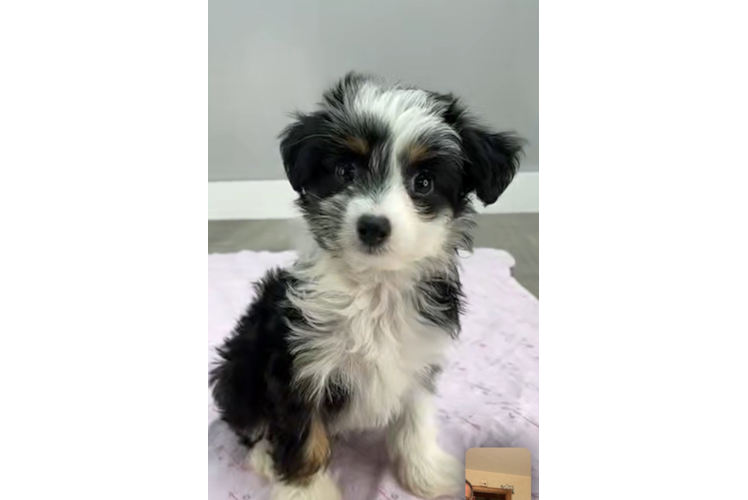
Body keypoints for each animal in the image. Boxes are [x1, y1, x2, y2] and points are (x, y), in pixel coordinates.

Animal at [210, 71, 524, 500]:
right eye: (346, 172)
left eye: (423, 182)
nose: (373, 226)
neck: (374, 287)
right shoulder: (297, 365)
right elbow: (302, 435)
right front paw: (306, 491)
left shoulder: (419, 354)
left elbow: (416, 417)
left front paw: (426, 473)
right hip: (240, 365)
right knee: (249, 421)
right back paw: (262, 457)